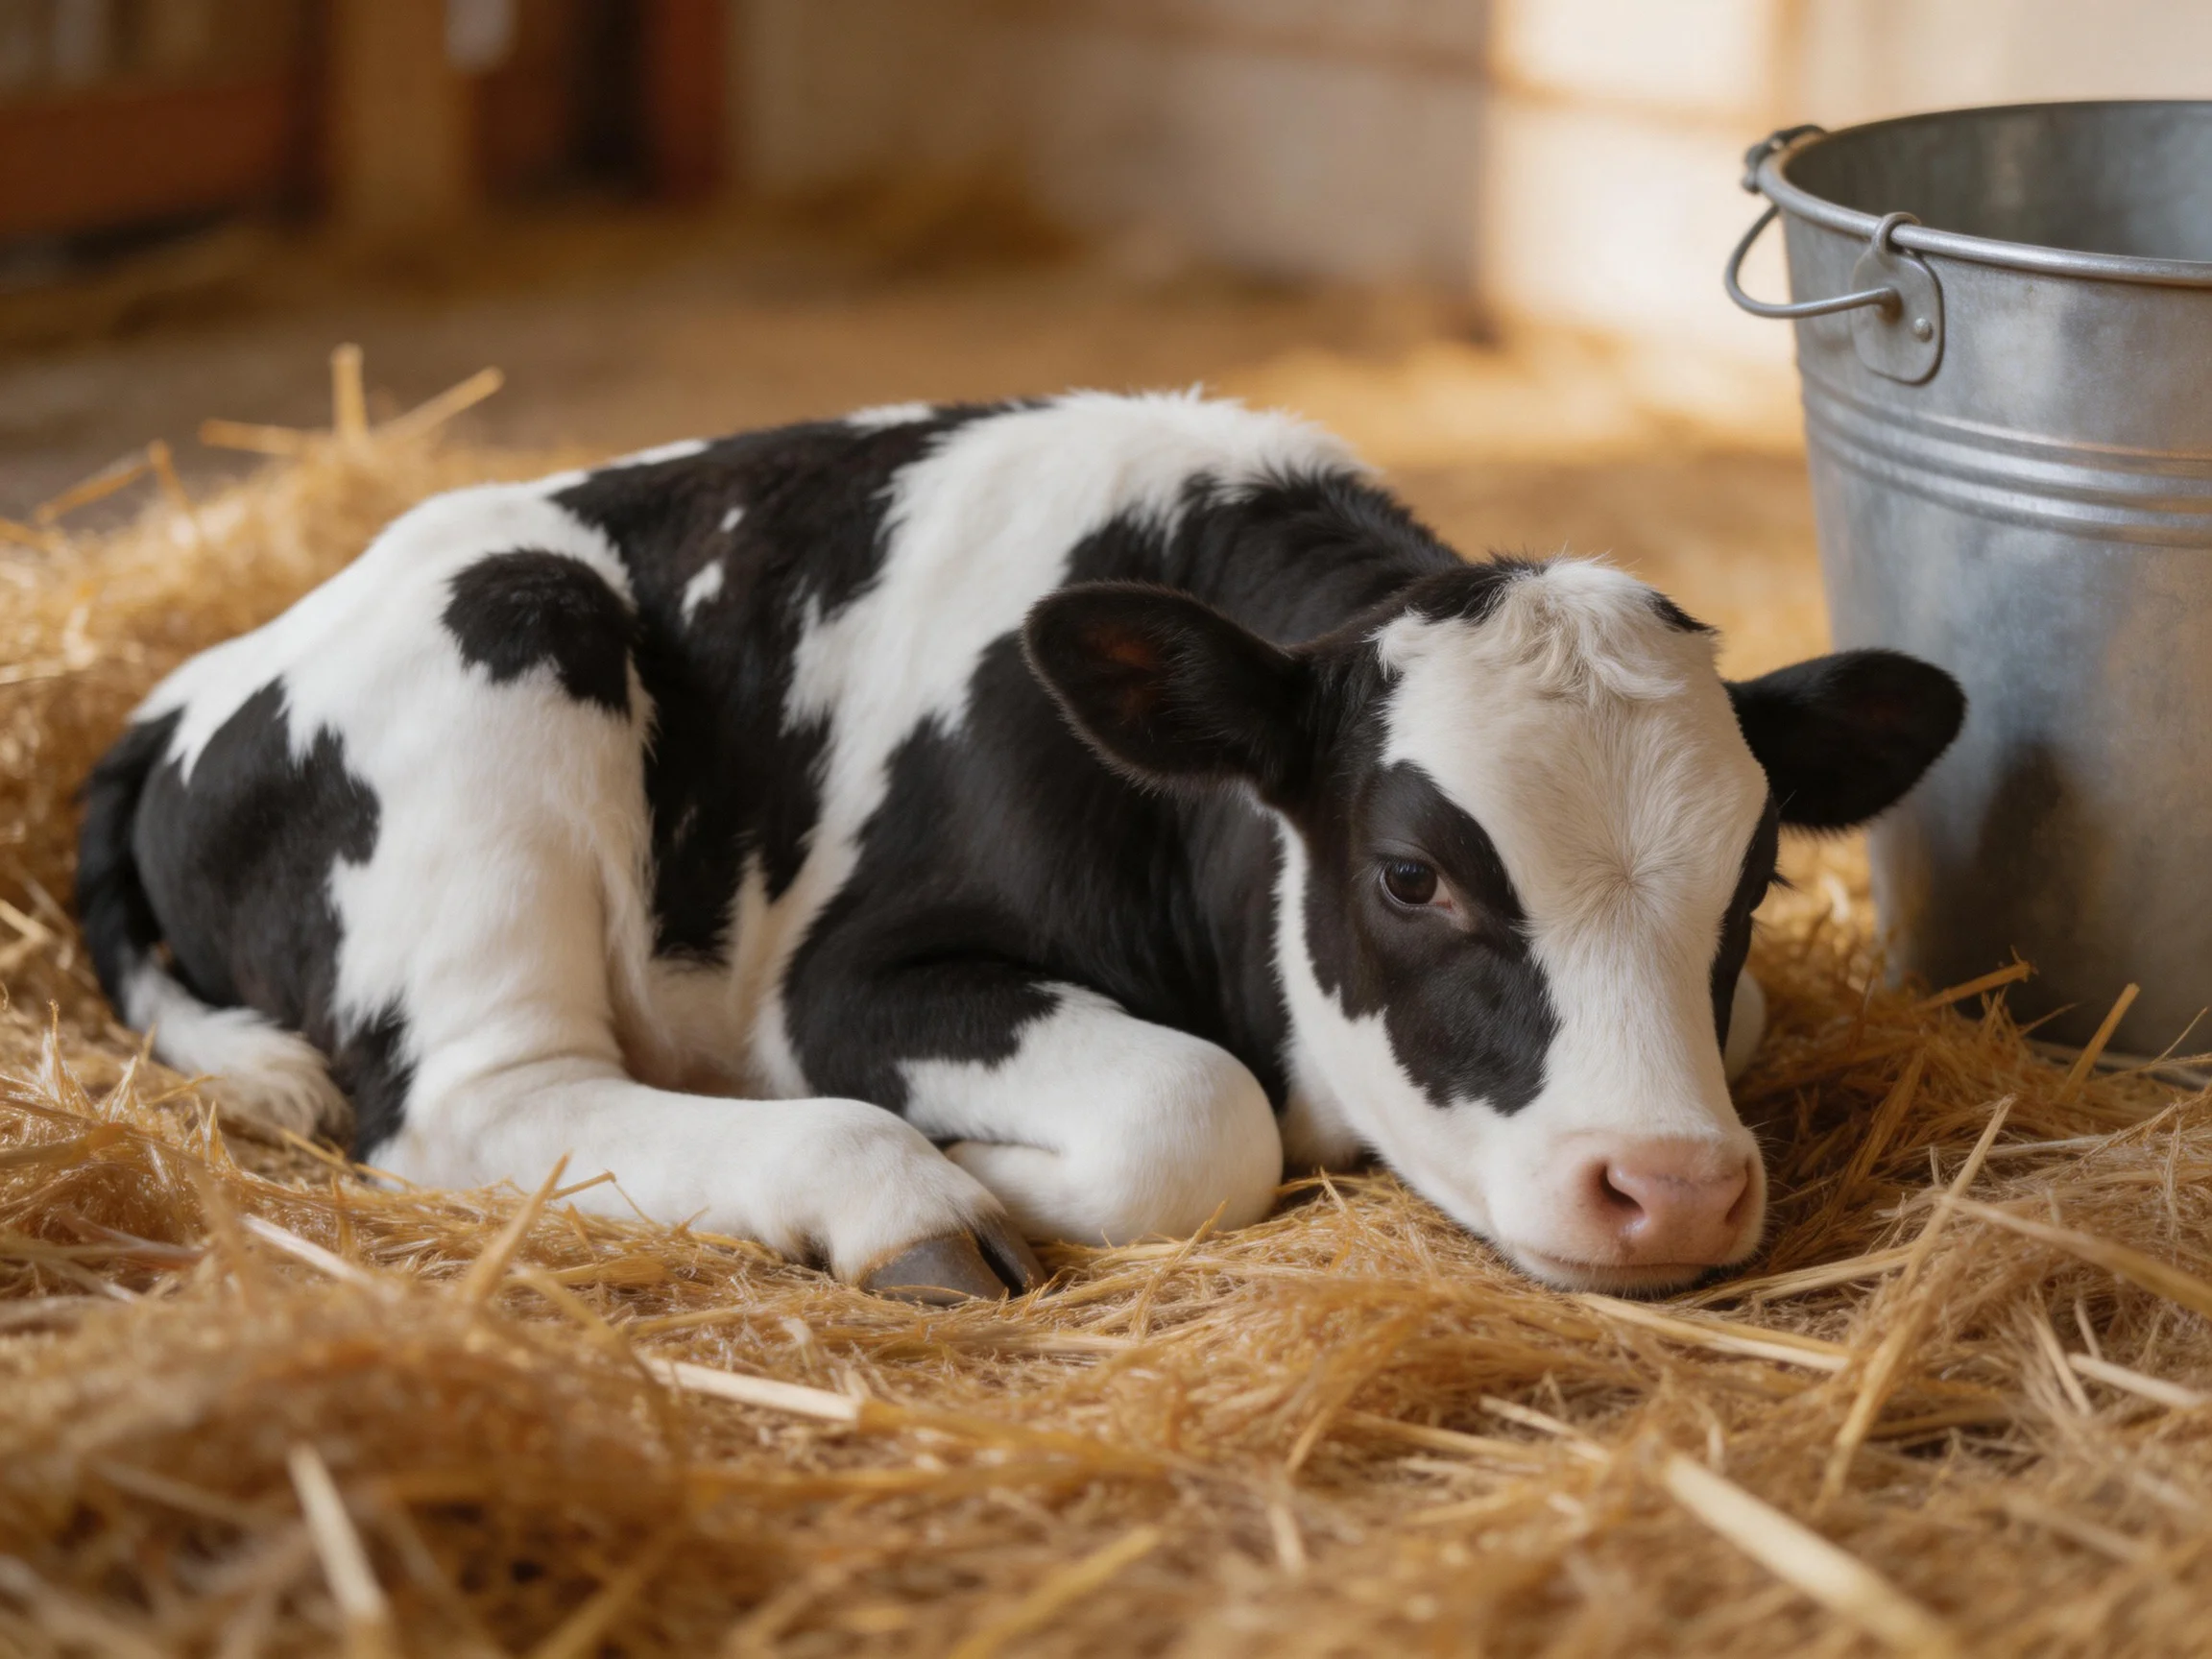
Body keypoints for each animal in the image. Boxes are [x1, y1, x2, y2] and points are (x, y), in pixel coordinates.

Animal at [75, 393, 1963, 1300]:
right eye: (1410, 874)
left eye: (1753, 882)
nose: (1673, 1188)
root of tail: (193, 682)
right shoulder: (851, 977)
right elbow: (1197, 1113)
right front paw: (984, 1171)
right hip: (512, 643)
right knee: (484, 1099)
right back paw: (893, 1197)